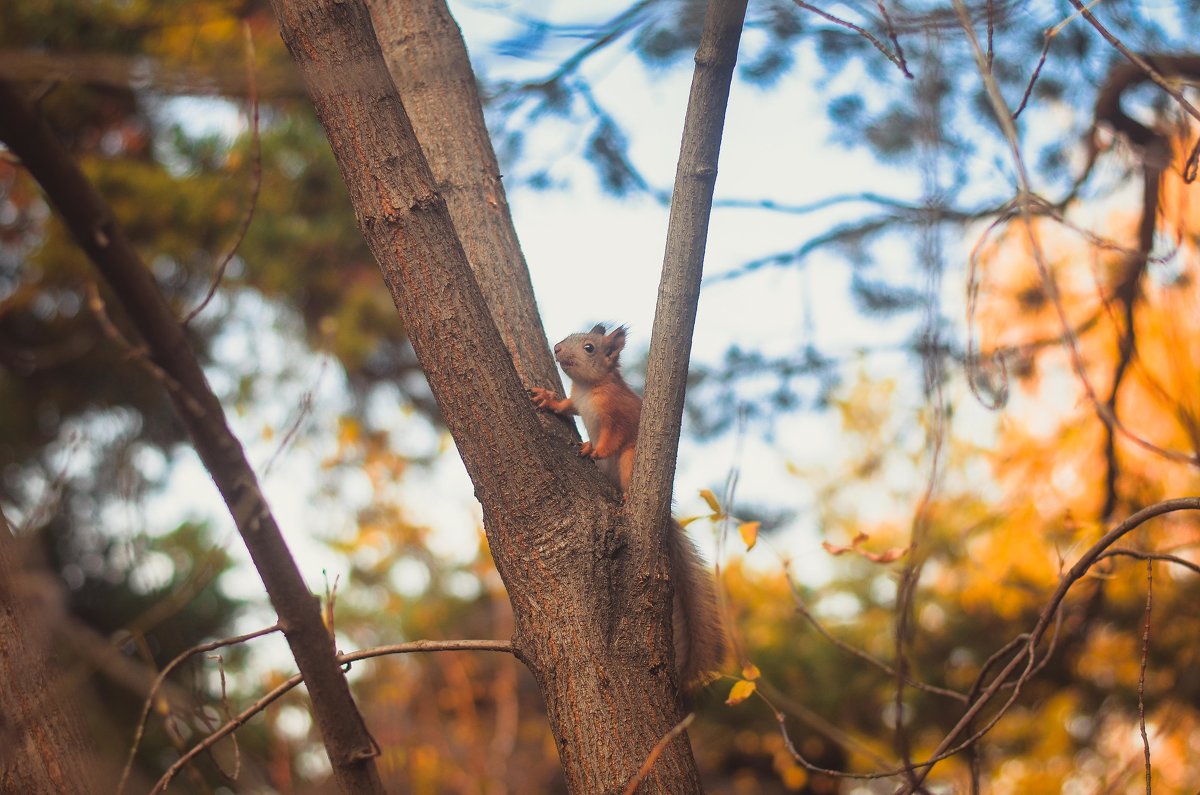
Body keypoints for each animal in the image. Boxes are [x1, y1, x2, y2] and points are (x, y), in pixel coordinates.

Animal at [530, 324, 724, 691]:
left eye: (589, 347)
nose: (557, 348)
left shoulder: (615, 415)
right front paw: (548, 399)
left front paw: (592, 450)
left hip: (628, 462)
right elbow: (567, 407)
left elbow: (612, 438)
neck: (588, 388)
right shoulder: (577, 402)